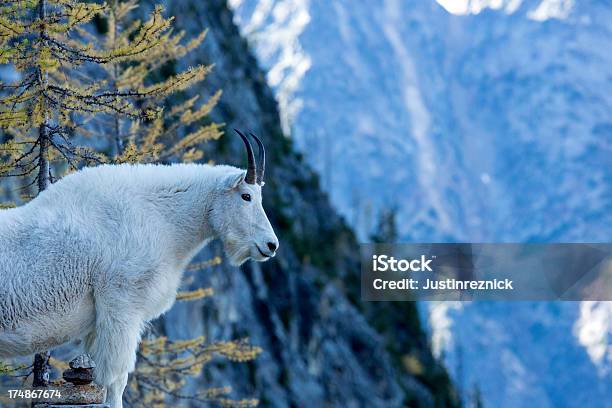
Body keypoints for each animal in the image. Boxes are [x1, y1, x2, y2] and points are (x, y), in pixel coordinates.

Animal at [0, 131, 278, 408]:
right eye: (246, 196)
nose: (271, 245)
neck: (162, 218)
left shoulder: (99, 321)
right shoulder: (121, 305)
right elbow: (115, 379)